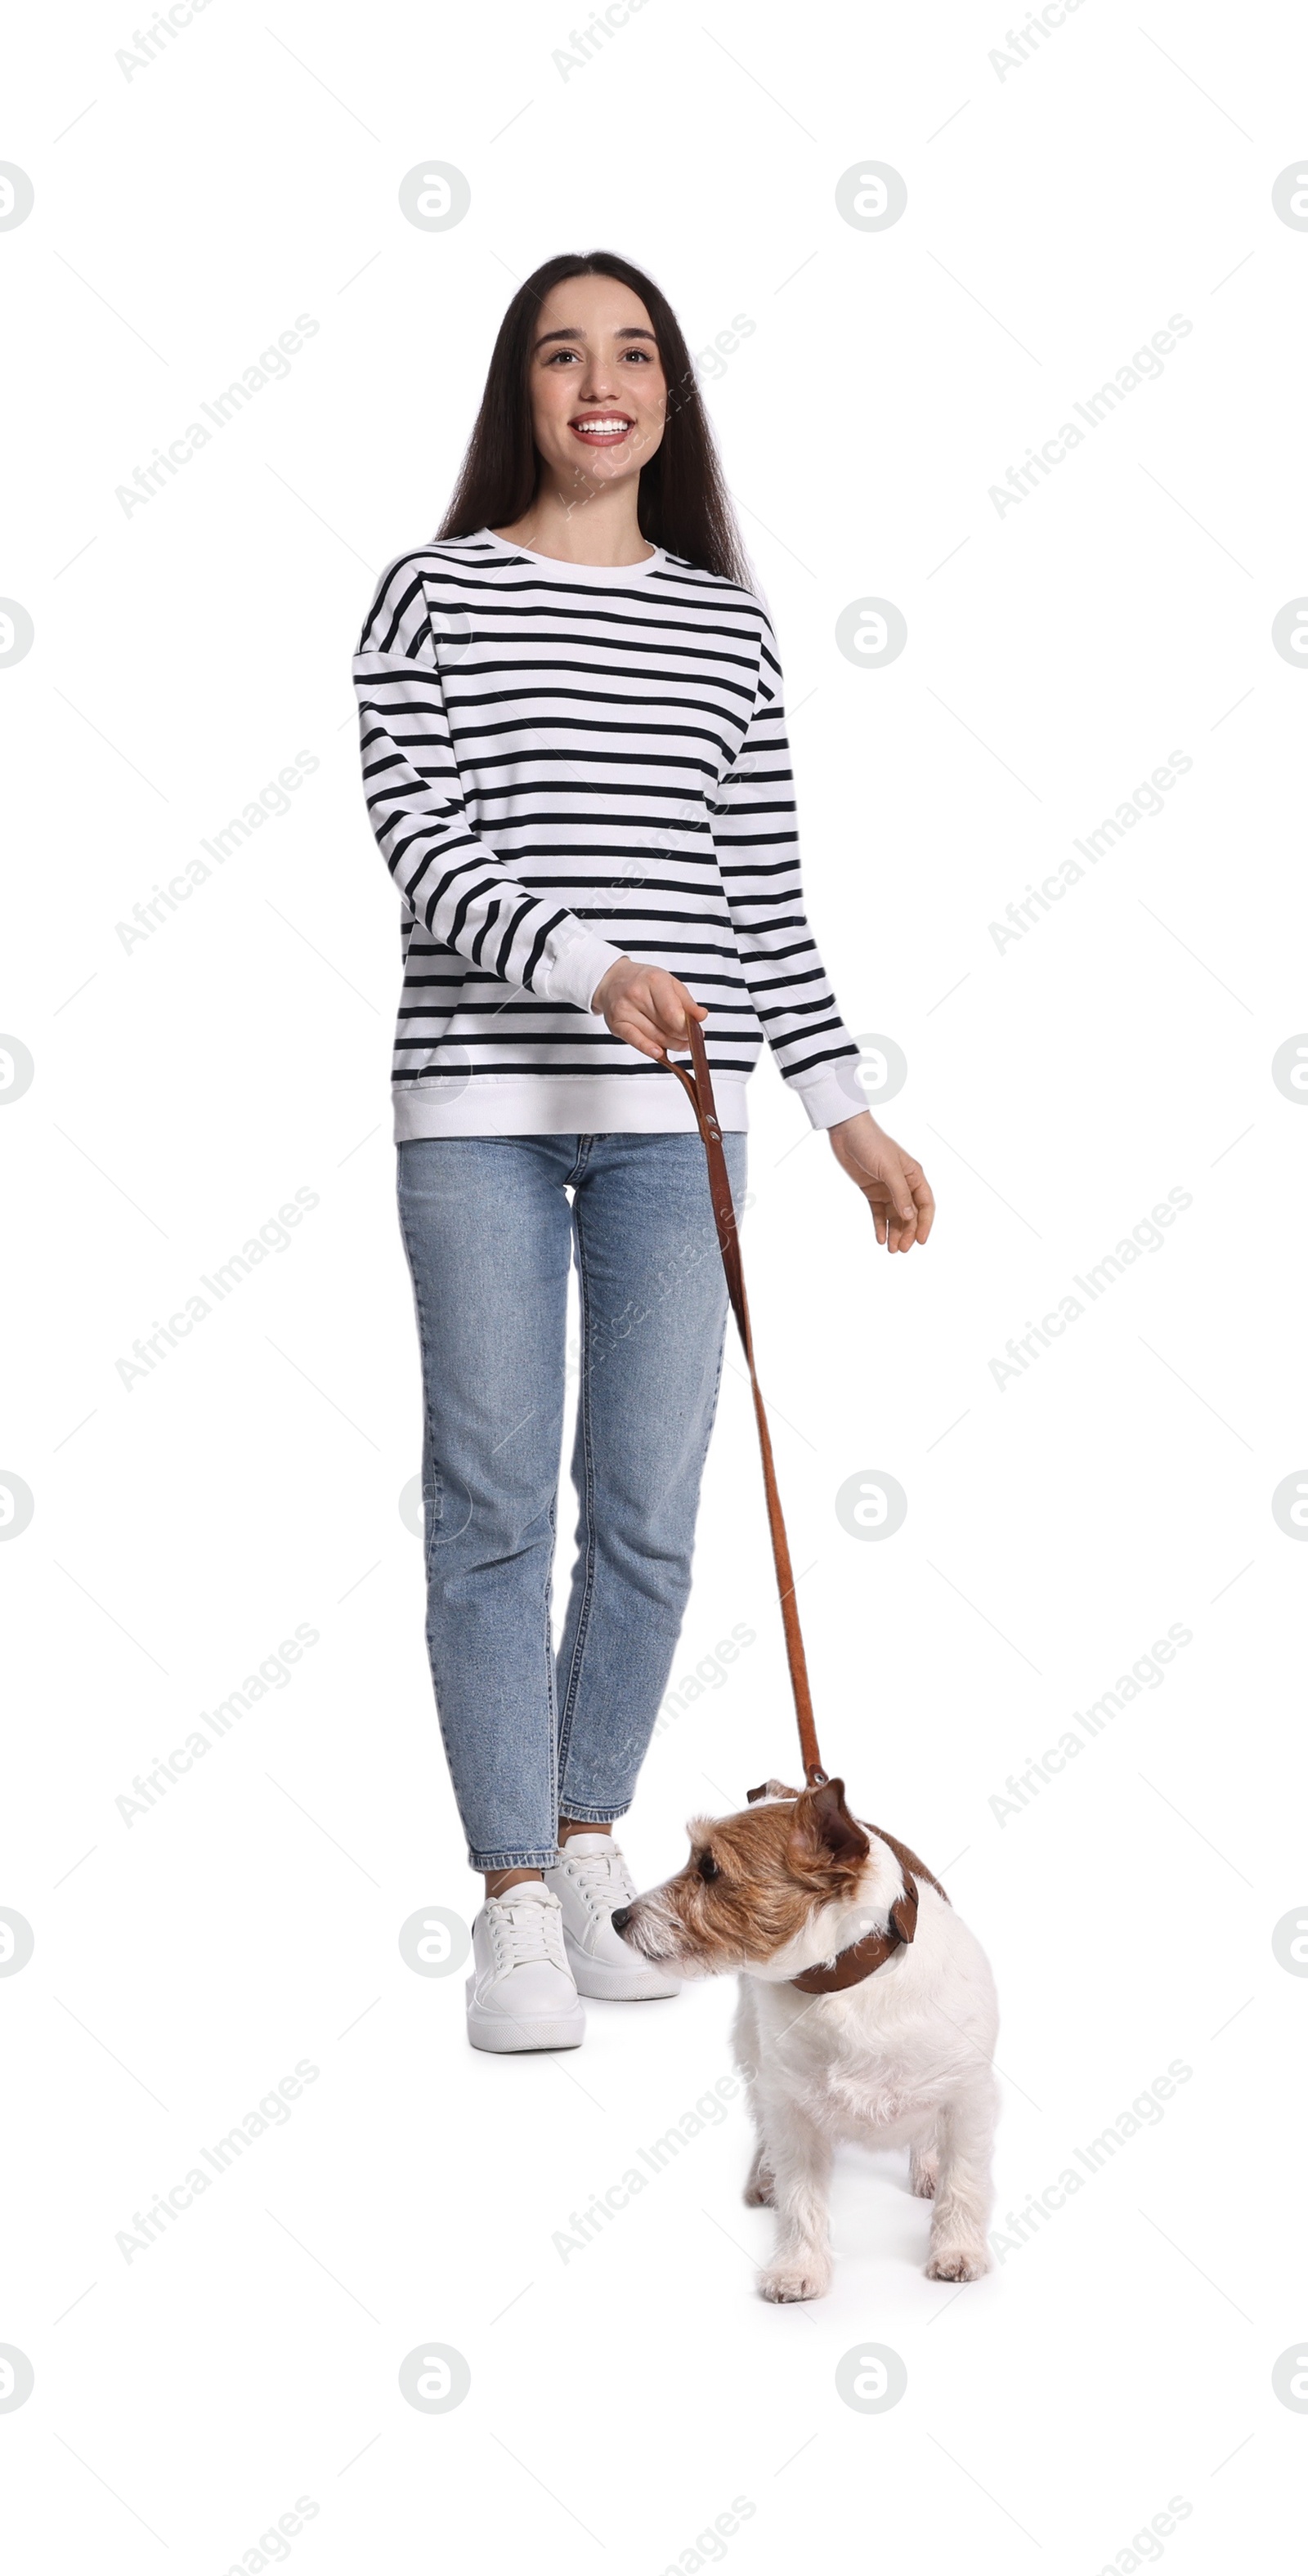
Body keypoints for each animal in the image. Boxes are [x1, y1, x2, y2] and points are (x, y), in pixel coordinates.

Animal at [615, 1782, 999, 2308]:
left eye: (710, 1867)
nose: (618, 1916)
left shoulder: (970, 2096)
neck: (844, 1986)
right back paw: (765, 2175)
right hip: (754, 2054)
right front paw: (798, 2269)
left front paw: (958, 2250)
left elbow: (963, 2181)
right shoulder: (794, 2110)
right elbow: (800, 2199)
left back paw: (927, 2165)